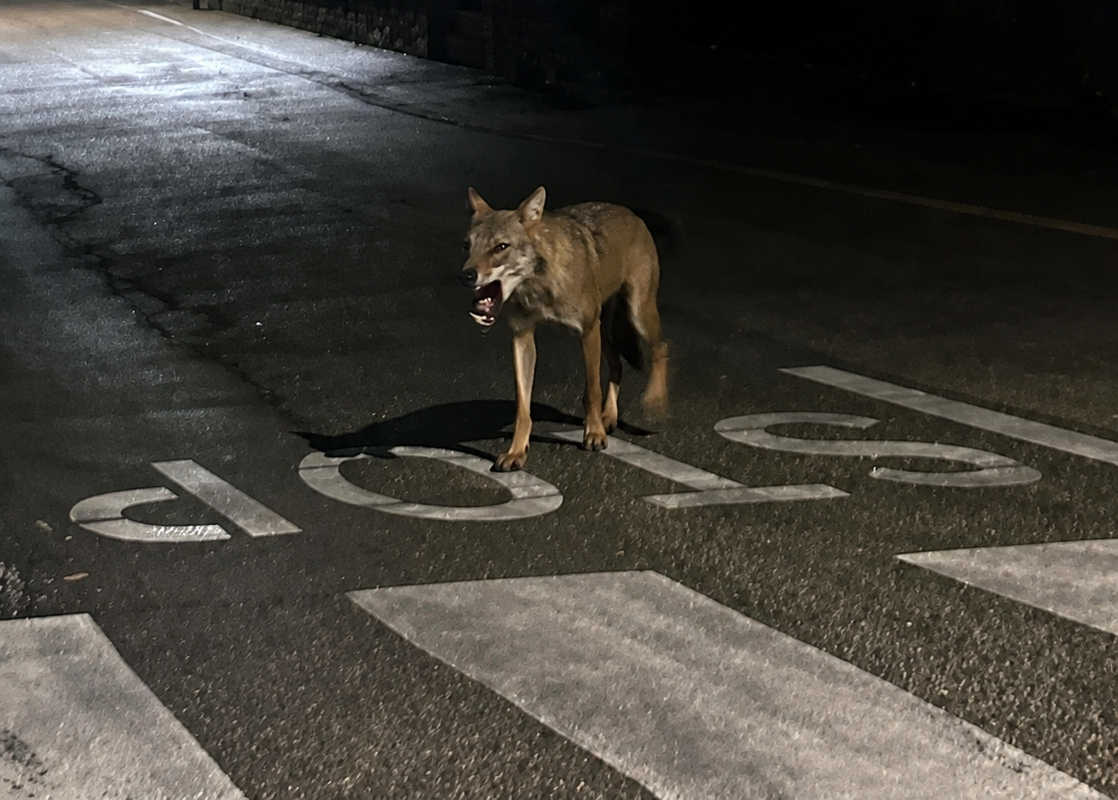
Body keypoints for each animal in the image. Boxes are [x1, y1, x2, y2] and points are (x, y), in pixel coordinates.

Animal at [459, 185, 669, 471]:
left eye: (500, 247)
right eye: (467, 246)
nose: (466, 275)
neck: (538, 285)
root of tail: (633, 214)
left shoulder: (587, 331)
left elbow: (591, 391)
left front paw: (594, 434)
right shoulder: (522, 337)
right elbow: (523, 408)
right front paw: (516, 451)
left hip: (636, 315)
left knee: (661, 348)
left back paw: (654, 402)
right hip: (605, 331)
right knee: (618, 366)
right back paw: (609, 416)